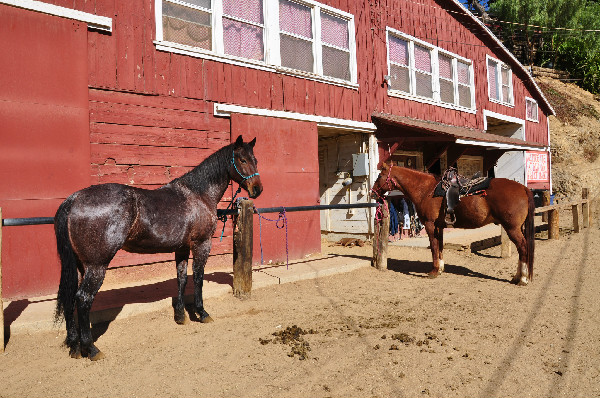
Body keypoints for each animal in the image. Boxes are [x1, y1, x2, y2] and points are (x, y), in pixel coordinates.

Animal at [54, 135, 262, 360]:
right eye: (242, 159)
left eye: (255, 159)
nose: (257, 189)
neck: (198, 194)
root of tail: (74, 199)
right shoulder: (202, 244)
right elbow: (198, 278)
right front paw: (202, 313)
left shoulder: (182, 248)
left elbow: (182, 279)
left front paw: (180, 316)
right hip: (96, 265)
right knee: (83, 299)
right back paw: (91, 348)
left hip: (79, 265)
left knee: (70, 298)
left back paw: (74, 346)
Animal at [372, 162, 536, 286]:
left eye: (380, 175)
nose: (372, 193)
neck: (426, 190)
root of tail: (523, 188)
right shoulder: (439, 226)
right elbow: (440, 247)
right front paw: (440, 269)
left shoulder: (430, 225)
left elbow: (434, 247)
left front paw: (433, 271)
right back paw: (517, 277)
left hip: (512, 228)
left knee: (523, 247)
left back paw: (522, 279)